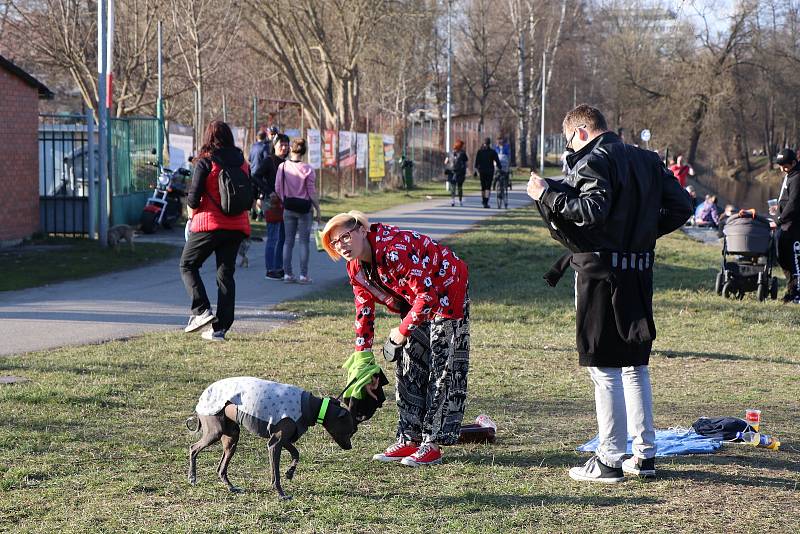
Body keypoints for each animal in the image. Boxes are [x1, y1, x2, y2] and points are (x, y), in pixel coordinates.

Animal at [188, 378, 356, 500]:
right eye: (351, 430)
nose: (350, 447)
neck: (312, 406)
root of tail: (203, 394)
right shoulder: (275, 443)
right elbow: (276, 474)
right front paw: (281, 494)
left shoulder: (284, 440)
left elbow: (296, 454)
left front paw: (289, 472)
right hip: (214, 430)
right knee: (193, 448)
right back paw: (192, 477)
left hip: (231, 437)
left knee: (221, 468)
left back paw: (231, 487)